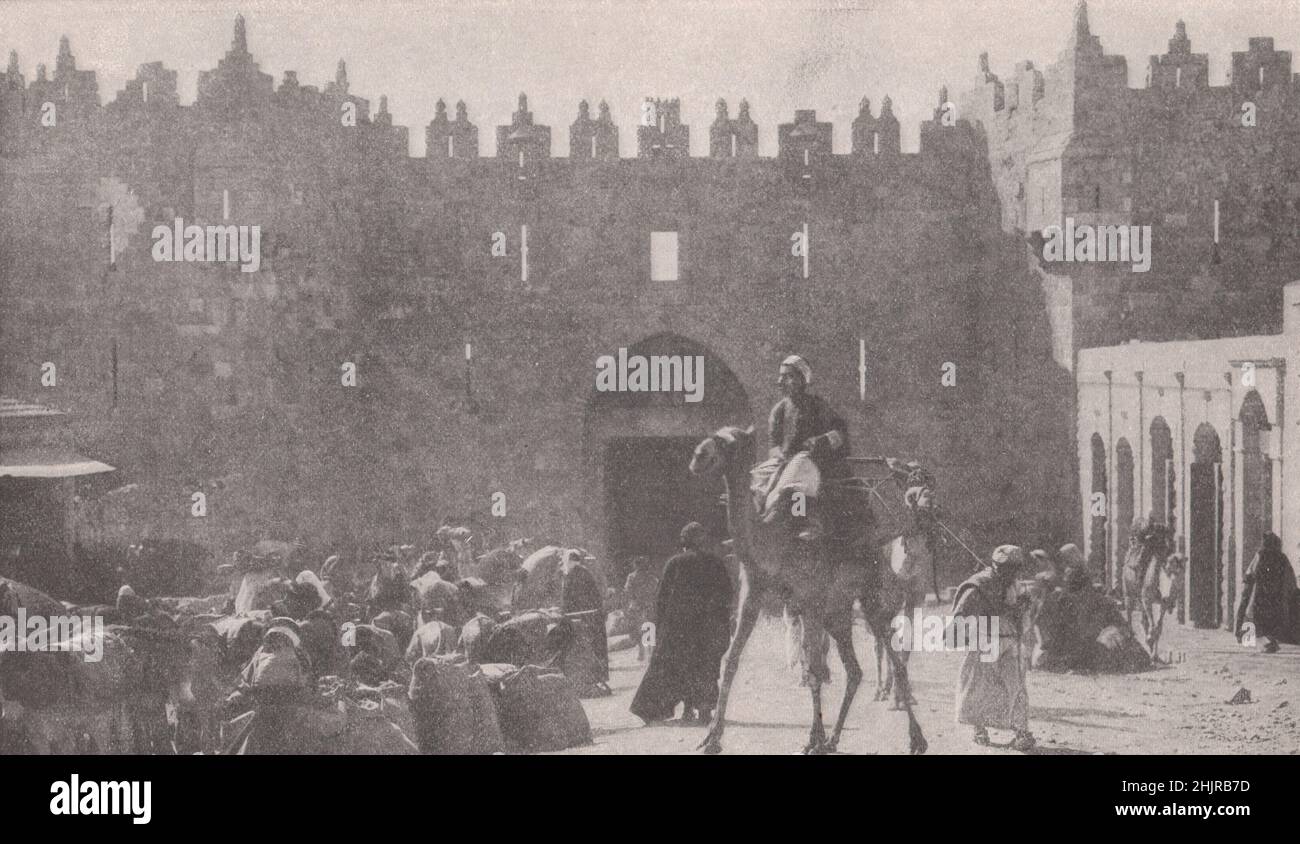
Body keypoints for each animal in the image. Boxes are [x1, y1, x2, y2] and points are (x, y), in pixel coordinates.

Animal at [691, 423, 935, 754]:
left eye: (730, 441)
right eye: (714, 434)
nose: (698, 456)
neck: (773, 541)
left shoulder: (809, 600)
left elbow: (815, 667)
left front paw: (812, 738)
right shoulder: (753, 594)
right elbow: (731, 659)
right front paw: (711, 738)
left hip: (870, 596)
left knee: (894, 657)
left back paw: (916, 737)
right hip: (838, 612)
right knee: (855, 670)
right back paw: (834, 739)